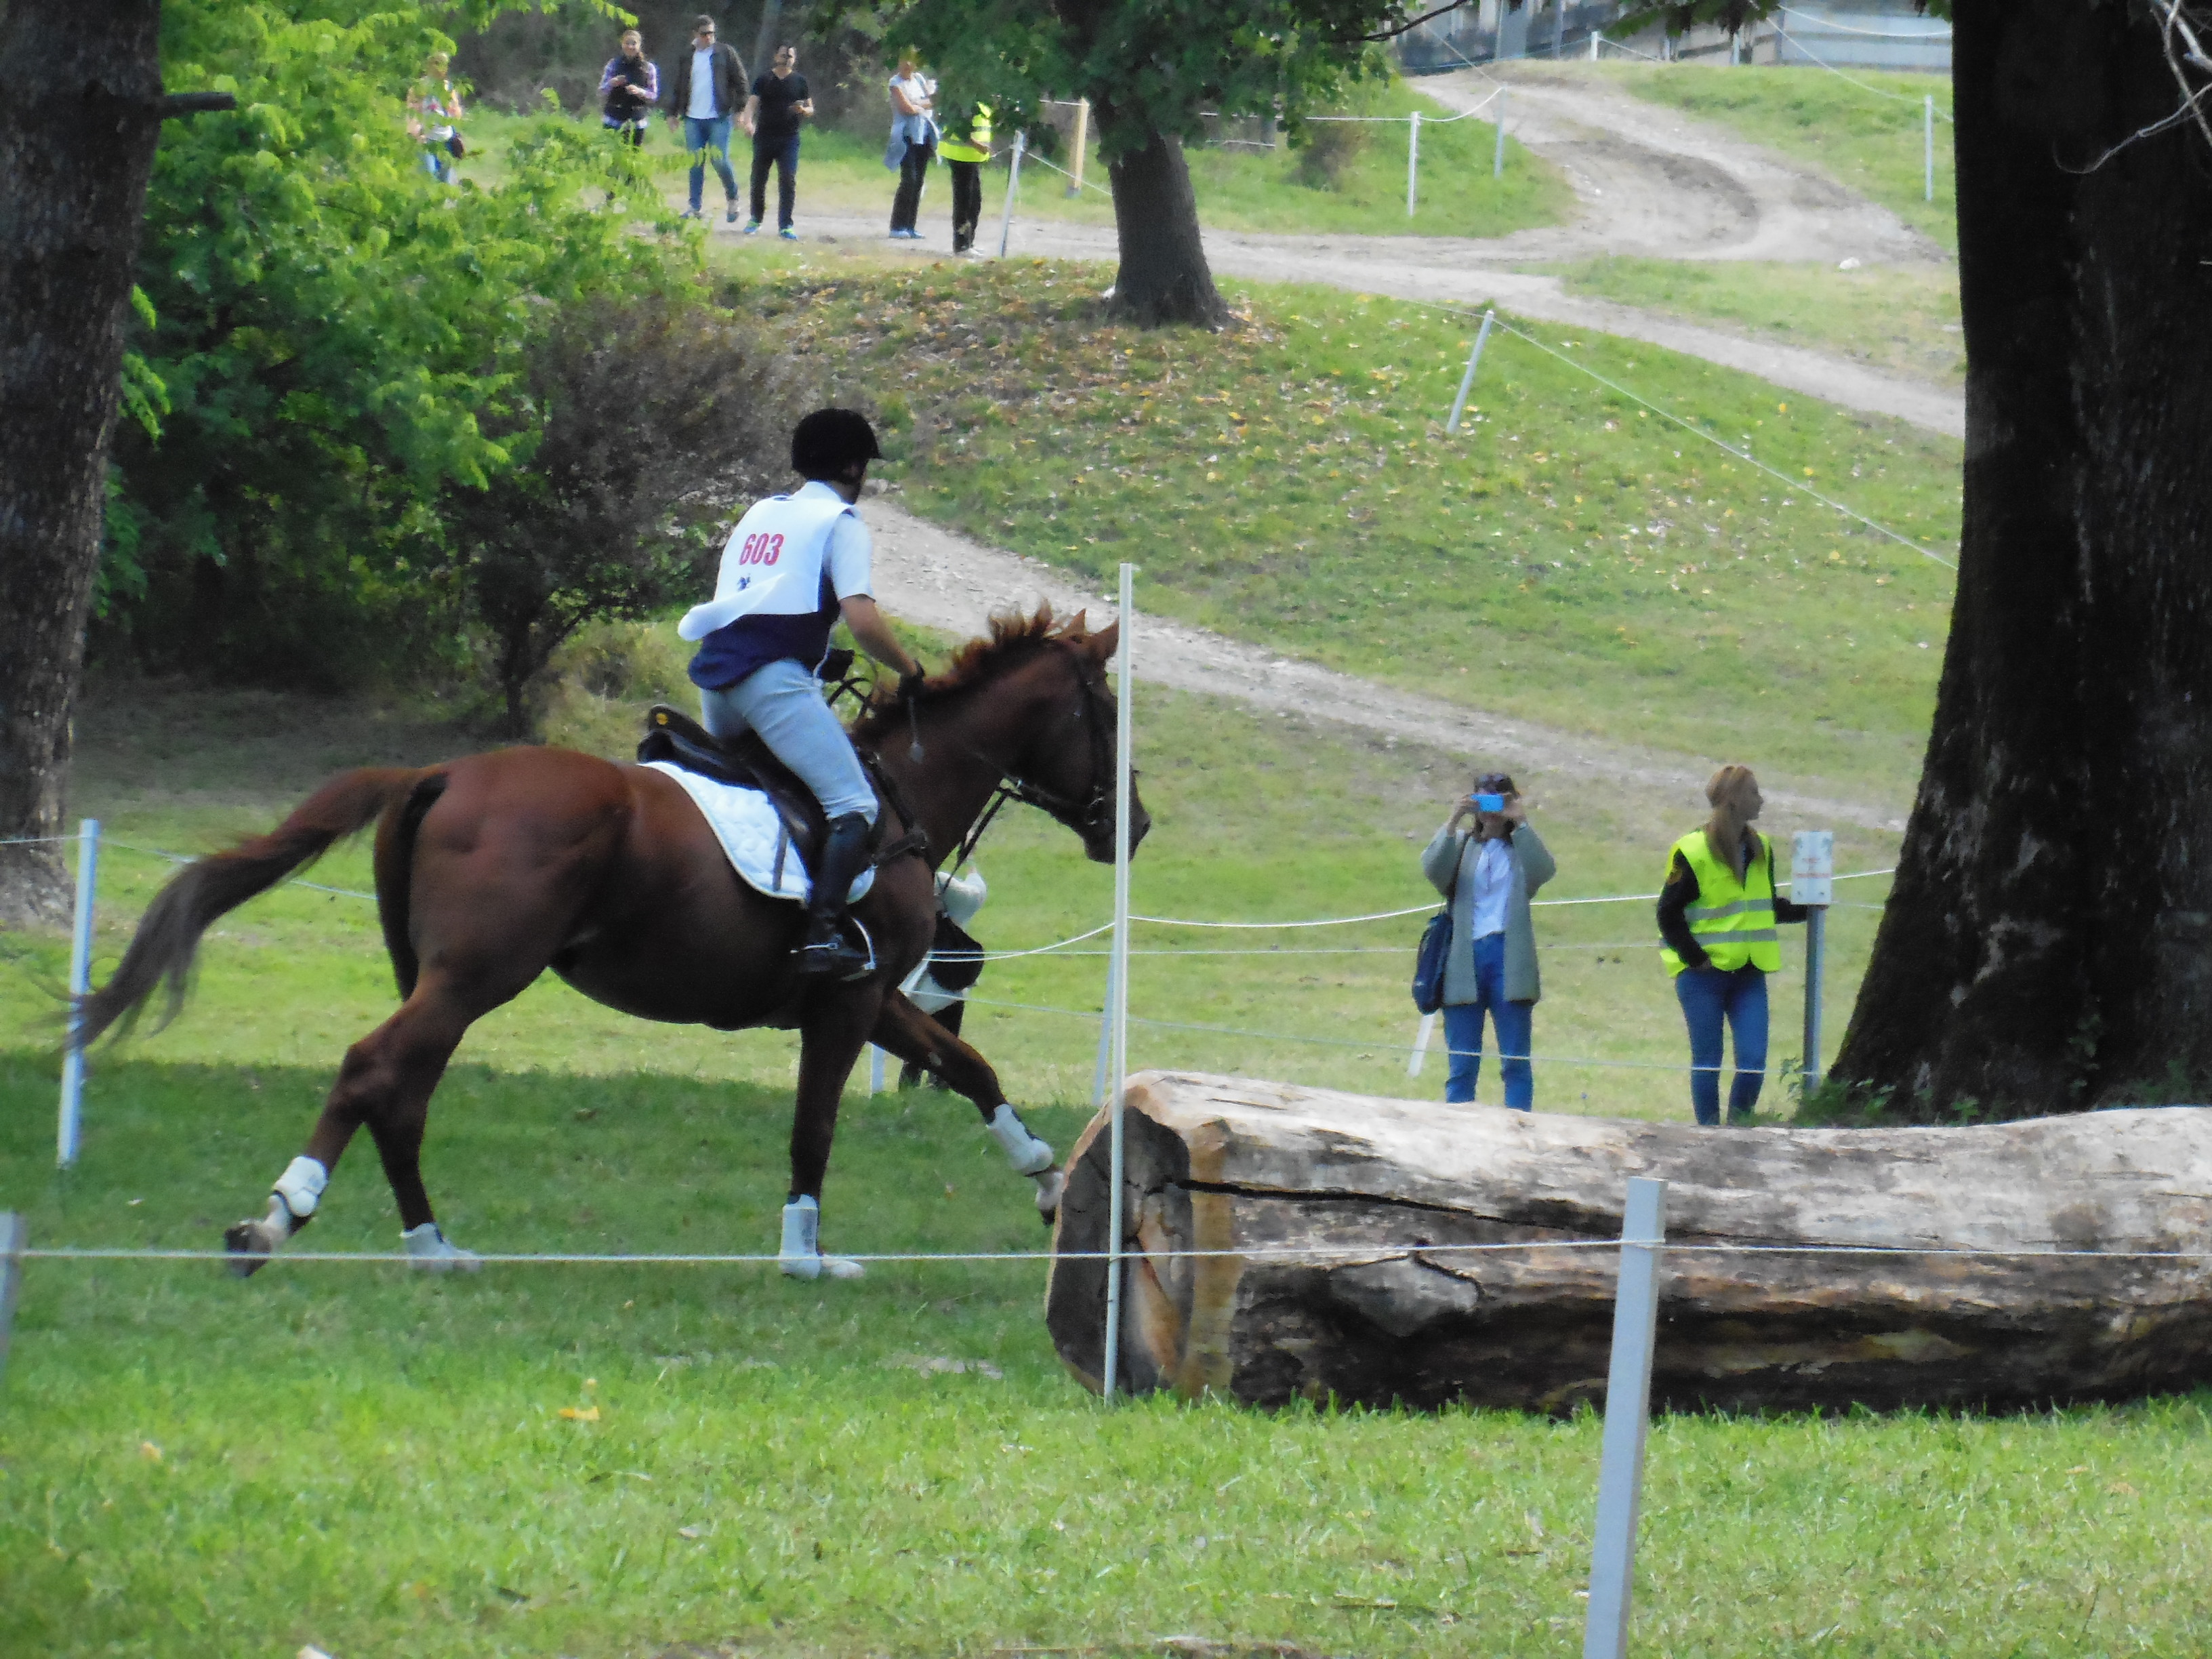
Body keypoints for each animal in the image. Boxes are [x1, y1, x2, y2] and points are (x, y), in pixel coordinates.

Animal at [78, 610, 1150, 1274]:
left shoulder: (874, 995)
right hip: (478, 975)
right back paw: (277, 1221)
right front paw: (805, 1256)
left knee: (402, 1095)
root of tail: (439, 772)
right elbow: (816, 1126)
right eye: (1106, 712)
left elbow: (970, 1066)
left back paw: (431, 1246)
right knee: (372, 1071)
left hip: (447, 983)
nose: (1131, 827)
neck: (899, 793)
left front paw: (1052, 1183)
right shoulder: (846, 998)